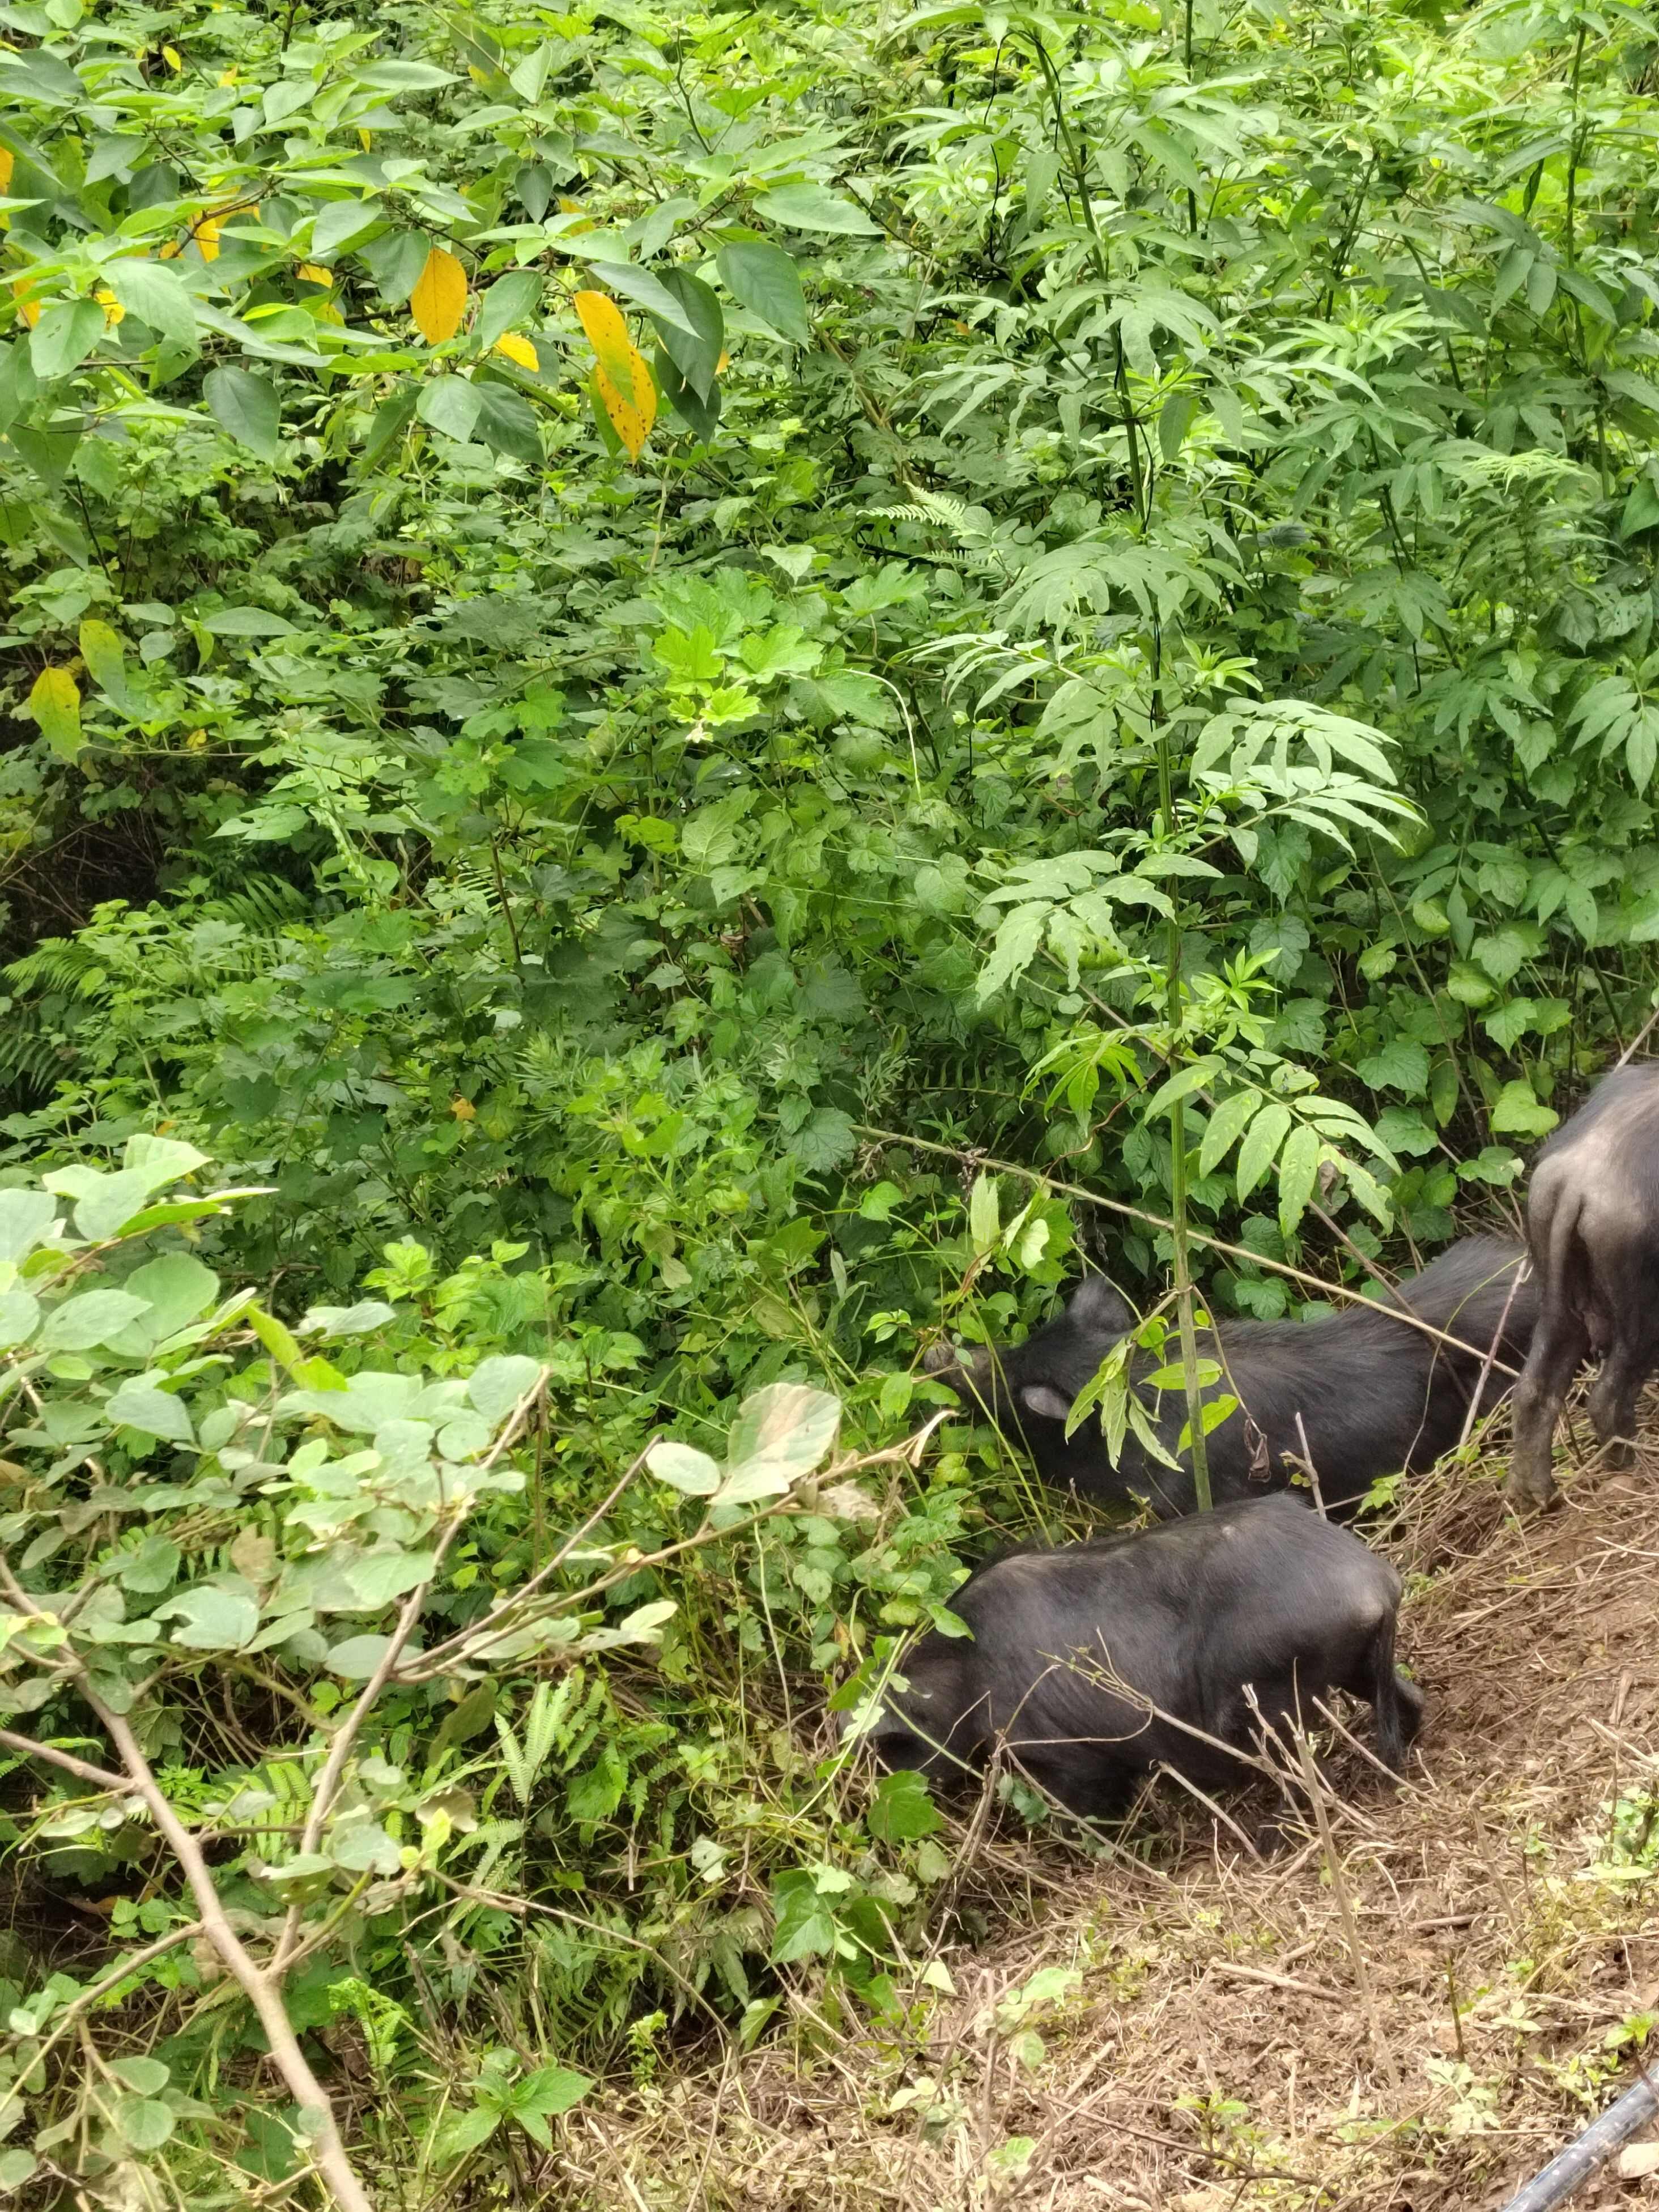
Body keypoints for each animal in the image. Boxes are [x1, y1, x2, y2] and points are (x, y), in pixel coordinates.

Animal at [862, 1486, 1424, 1814]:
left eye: (893, 1747)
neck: (967, 1676)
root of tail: (1377, 1583)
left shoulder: (1062, 1751)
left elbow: (1093, 1808)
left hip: (1271, 1697)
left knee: (1304, 1770)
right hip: (1357, 1666)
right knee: (1412, 1699)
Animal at [1513, 1061, 1659, 1513]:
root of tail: (1577, 1178)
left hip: (1555, 1284)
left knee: (1534, 1389)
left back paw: (1535, 1494)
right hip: (1644, 1311)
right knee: (1608, 1400)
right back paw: (1635, 1465)